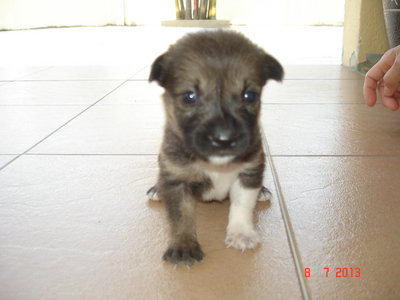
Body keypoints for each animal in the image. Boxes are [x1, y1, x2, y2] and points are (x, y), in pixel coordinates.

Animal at [146, 29, 282, 264]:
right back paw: (157, 189)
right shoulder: (176, 180)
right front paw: (184, 245)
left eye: (250, 95)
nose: (224, 139)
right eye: (189, 97)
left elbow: (242, 205)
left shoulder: (249, 171)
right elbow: (182, 216)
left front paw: (241, 233)